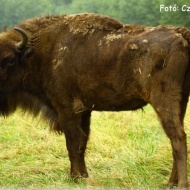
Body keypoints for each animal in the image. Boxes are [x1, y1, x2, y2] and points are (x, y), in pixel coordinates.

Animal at [0, 13, 190, 189]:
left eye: (10, 59)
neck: (39, 52)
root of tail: (181, 34)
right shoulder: (84, 111)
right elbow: (82, 143)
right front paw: (83, 176)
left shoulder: (67, 109)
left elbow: (73, 143)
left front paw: (74, 178)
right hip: (181, 101)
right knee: (176, 138)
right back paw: (170, 183)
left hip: (163, 101)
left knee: (178, 138)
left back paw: (180, 184)